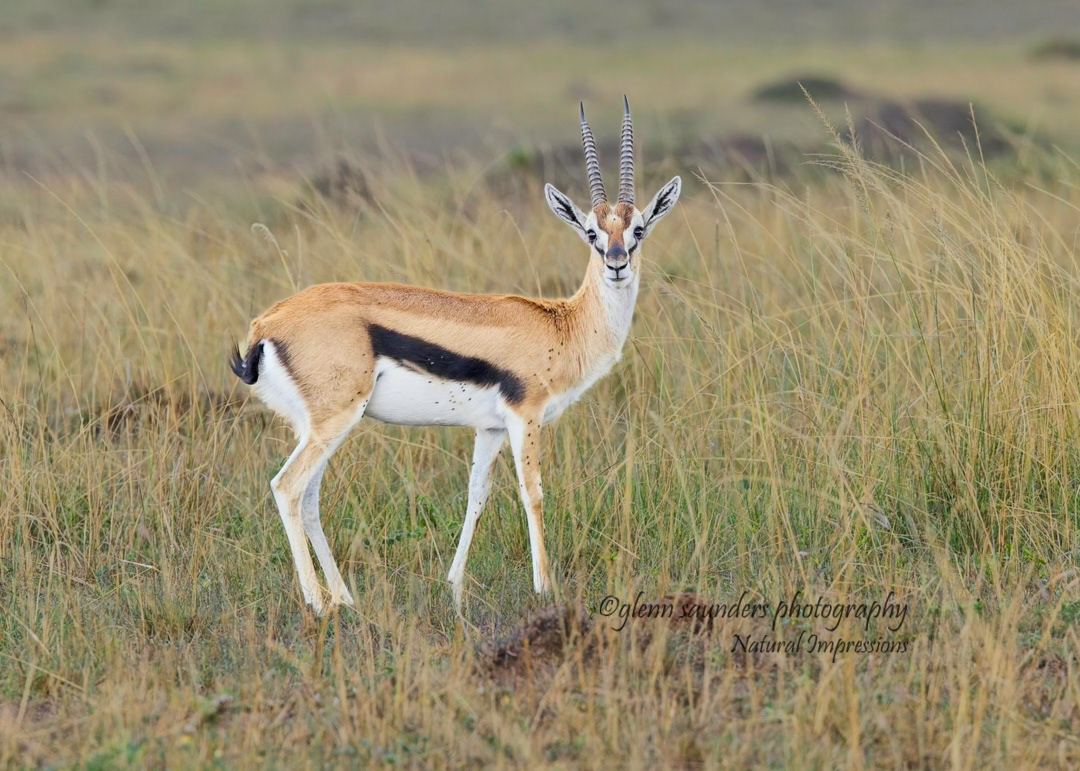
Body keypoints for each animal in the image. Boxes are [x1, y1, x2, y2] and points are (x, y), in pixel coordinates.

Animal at [230, 98, 681, 614]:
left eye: (638, 229)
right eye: (591, 232)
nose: (616, 263)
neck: (561, 324)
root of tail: (265, 325)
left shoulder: (489, 428)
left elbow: (476, 495)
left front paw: (455, 586)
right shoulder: (525, 417)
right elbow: (532, 492)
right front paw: (544, 587)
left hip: (317, 426)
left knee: (308, 497)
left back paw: (345, 597)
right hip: (334, 421)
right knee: (287, 487)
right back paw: (320, 604)